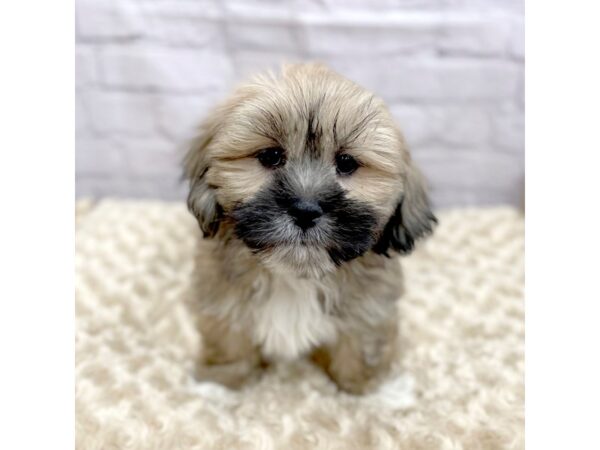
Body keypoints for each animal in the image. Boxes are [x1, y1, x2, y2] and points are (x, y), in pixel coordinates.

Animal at [183, 63, 436, 394]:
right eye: (270, 156)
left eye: (346, 163)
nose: (305, 210)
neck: (297, 275)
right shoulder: (222, 302)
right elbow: (230, 343)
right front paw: (221, 382)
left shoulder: (370, 310)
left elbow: (361, 347)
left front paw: (369, 388)